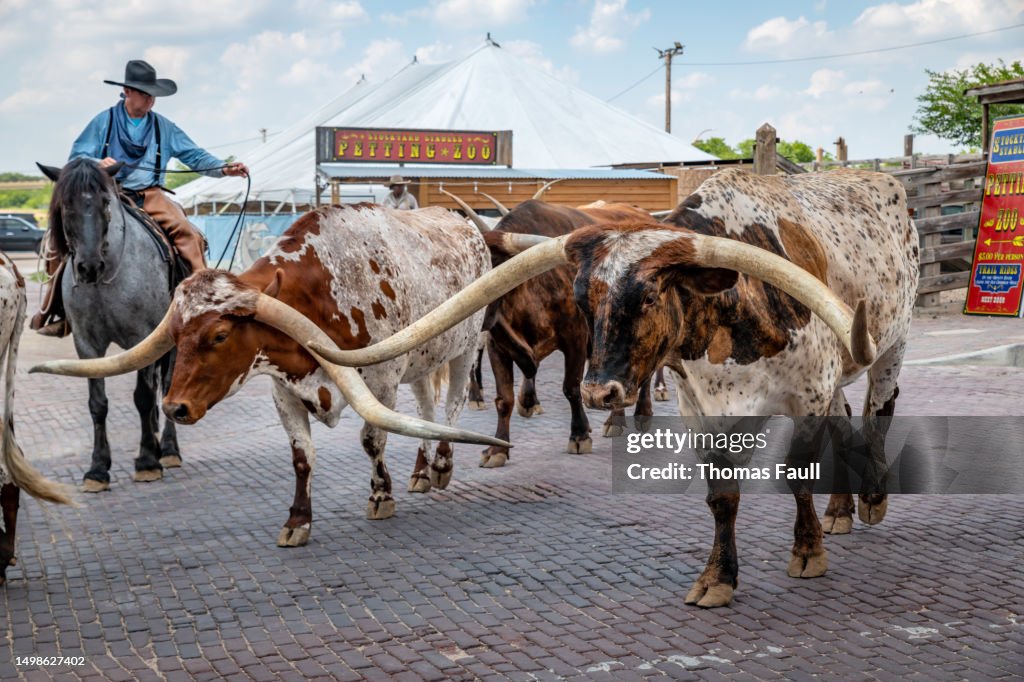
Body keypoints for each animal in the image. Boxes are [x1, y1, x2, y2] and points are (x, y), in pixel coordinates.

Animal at [31, 204, 506, 547]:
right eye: (175, 334)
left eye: (220, 335)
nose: (174, 407)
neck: (326, 289)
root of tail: (462, 224)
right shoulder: (285, 390)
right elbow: (301, 457)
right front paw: (298, 521)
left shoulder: (383, 381)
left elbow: (373, 440)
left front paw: (380, 496)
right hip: (423, 358)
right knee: (426, 405)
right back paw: (422, 471)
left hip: (464, 345)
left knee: (452, 405)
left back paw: (441, 464)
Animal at [311, 168, 918, 608]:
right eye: (585, 298)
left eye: (648, 297)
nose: (601, 394)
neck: (733, 309)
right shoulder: (703, 410)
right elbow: (721, 497)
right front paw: (718, 578)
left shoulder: (808, 394)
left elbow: (797, 476)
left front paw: (808, 551)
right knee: (847, 421)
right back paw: (840, 509)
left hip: (890, 346)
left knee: (876, 413)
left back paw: (869, 499)